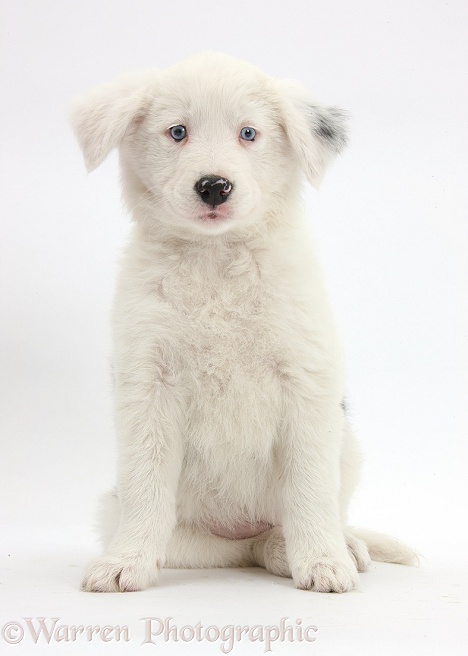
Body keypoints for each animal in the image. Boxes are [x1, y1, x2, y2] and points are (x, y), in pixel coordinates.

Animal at [70, 52, 416, 596]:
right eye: (178, 131)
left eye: (249, 133)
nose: (214, 186)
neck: (216, 260)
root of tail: (240, 527)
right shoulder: (148, 381)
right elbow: (147, 485)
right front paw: (125, 562)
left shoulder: (306, 381)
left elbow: (309, 487)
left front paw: (323, 560)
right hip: (151, 521)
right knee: (233, 546)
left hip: (349, 446)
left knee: (295, 522)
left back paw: (338, 547)